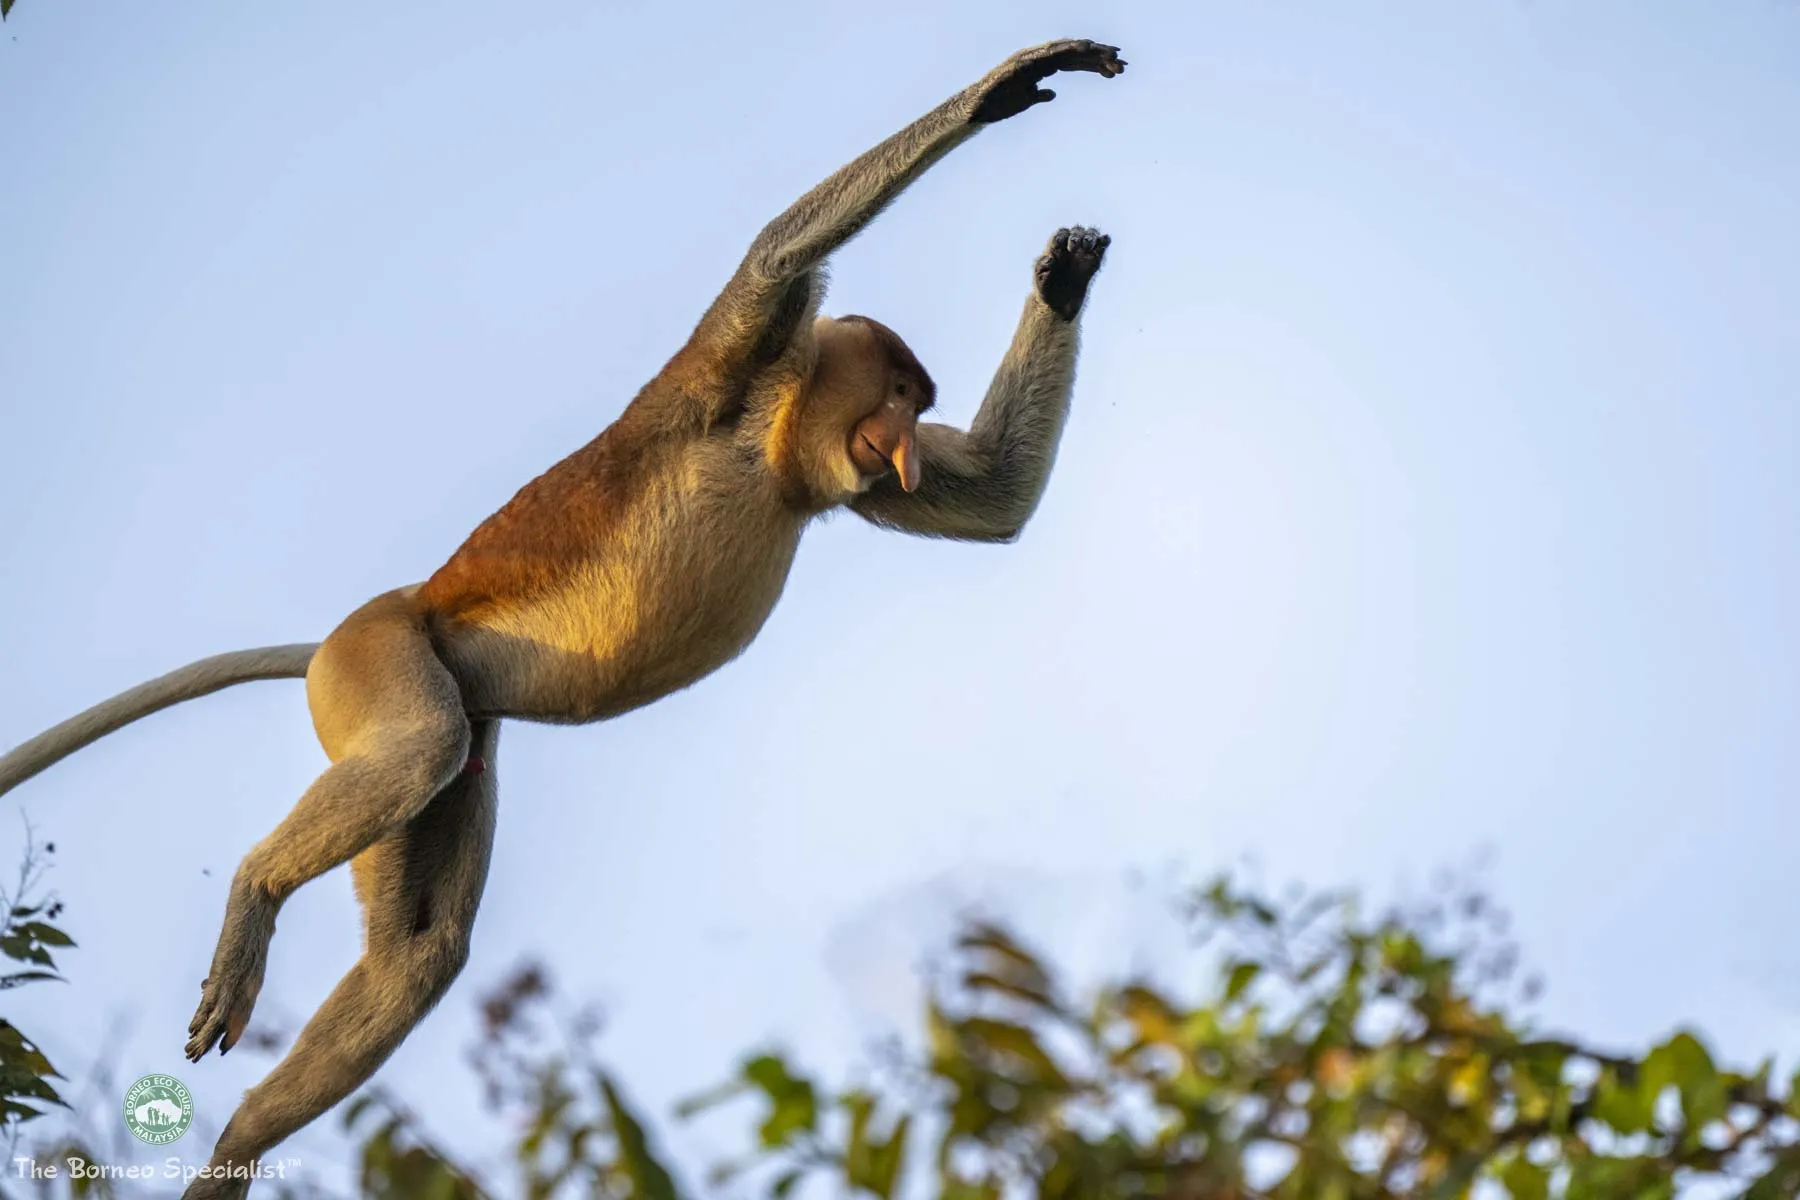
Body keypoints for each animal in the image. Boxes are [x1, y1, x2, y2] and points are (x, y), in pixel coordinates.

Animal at [0, 38, 1124, 1195]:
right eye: (894, 391)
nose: (899, 441)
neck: (775, 449)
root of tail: (368, 624)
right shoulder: (728, 374)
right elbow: (774, 260)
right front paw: (1008, 89)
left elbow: (991, 500)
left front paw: (1066, 272)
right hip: (380, 653)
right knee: (419, 749)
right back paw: (256, 897)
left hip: (447, 703)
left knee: (419, 937)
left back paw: (235, 1147)